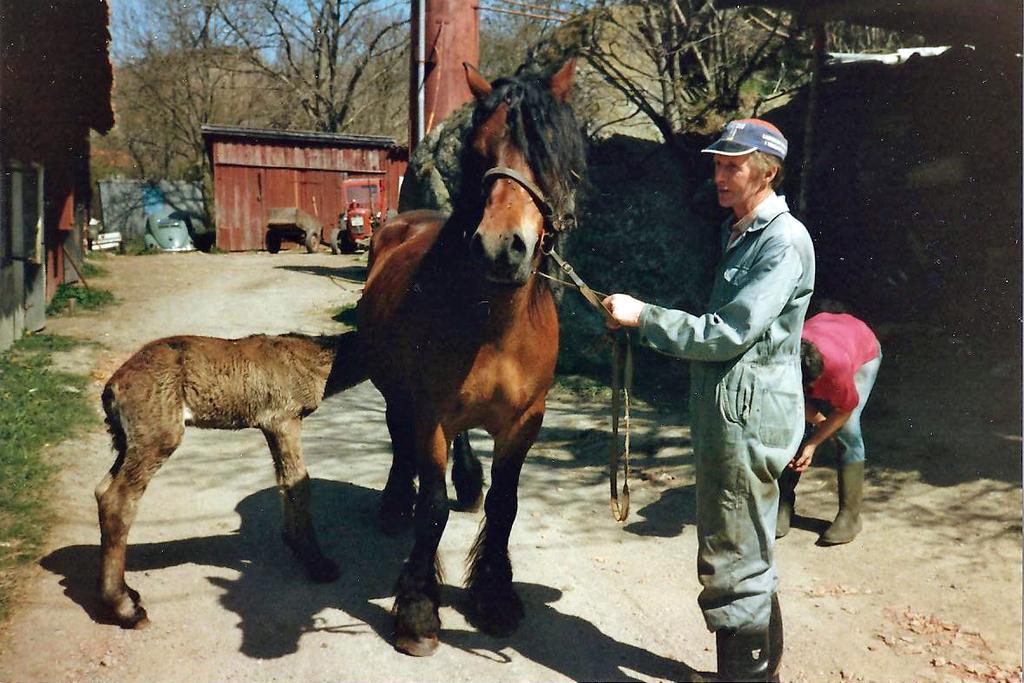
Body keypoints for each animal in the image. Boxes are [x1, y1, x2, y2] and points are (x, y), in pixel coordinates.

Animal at [93, 329, 364, 626]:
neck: (316, 361)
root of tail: (113, 388)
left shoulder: (271, 425)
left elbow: (285, 481)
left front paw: (295, 544)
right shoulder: (283, 418)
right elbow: (299, 483)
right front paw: (318, 563)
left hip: (128, 441)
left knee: (102, 489)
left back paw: (129, 593)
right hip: (158, 434)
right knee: (118, 498)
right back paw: (125, 609)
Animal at [358, 60, 585, 655]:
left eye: (552, 154)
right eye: (480, 151)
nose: (501, 248)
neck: (495, 323)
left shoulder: (526, 421)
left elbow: (506, 505)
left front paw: (495, 595)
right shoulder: (431, 413)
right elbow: (433, 508)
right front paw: (417, 609)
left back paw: (467, 482)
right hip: (397, 393)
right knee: (398, 437)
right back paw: (395, 503)